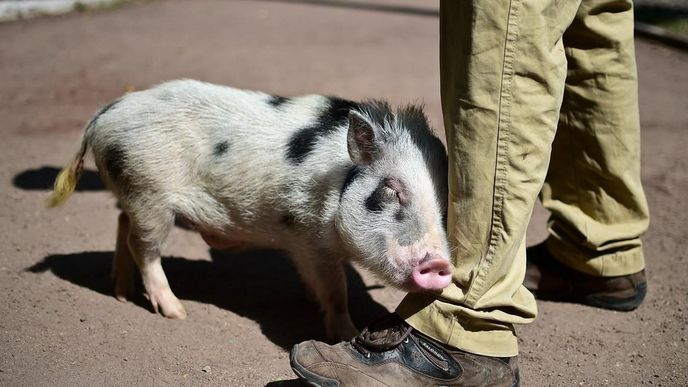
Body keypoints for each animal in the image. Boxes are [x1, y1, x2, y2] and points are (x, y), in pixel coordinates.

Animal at [51, 80, 454, 342]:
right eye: (392, 189)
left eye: (446, 202)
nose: (440, 264)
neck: (336, 181)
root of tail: (103, 115)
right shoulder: (307, 235)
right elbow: (336, 290)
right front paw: (345, 334)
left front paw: (310, 299)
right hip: (149, 193)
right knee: (144, 248)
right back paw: (176, 311)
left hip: (134, 192)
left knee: (123, 223)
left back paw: (122, 292)